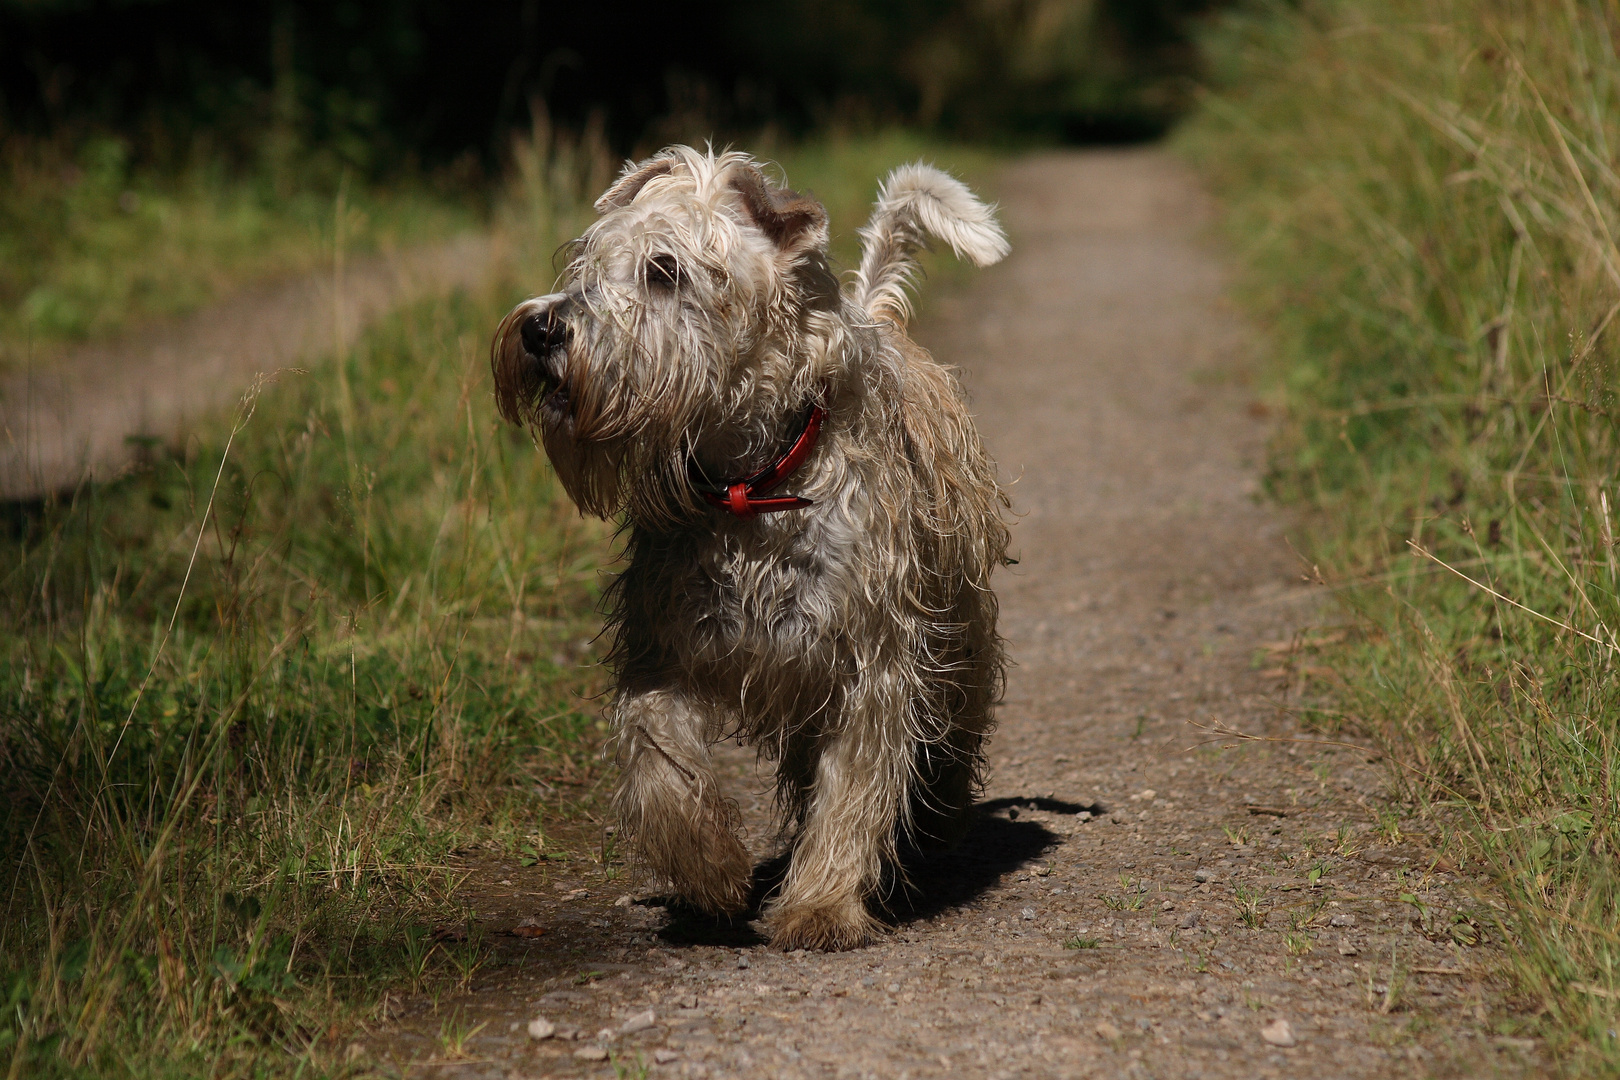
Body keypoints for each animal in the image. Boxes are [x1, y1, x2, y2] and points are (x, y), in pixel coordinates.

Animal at [486, 148, 1004, 952]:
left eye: (664, 269)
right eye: (586, 262)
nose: (542, 328)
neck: (752, 481)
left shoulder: (872, 659)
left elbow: (852, 789)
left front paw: (820, 906)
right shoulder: (665, 646)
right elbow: (660, 760)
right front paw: (710, 873)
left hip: (961, 624)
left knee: (952, 731)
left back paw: (935, 822)